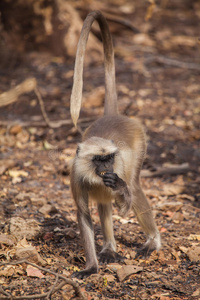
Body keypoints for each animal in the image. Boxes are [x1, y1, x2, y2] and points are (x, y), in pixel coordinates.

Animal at [70, 11, 161, 278]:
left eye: (109, 158)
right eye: (99, 159)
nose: (106, 168)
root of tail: (114, 115)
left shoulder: (118, 167)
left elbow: (124, 205)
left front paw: (120, 187)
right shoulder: (75, 173)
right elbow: (83, 214)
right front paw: (91, 267)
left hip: (140, 142)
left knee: (135, 187)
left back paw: (152, 241)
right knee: (102, 201)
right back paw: (110, 248)